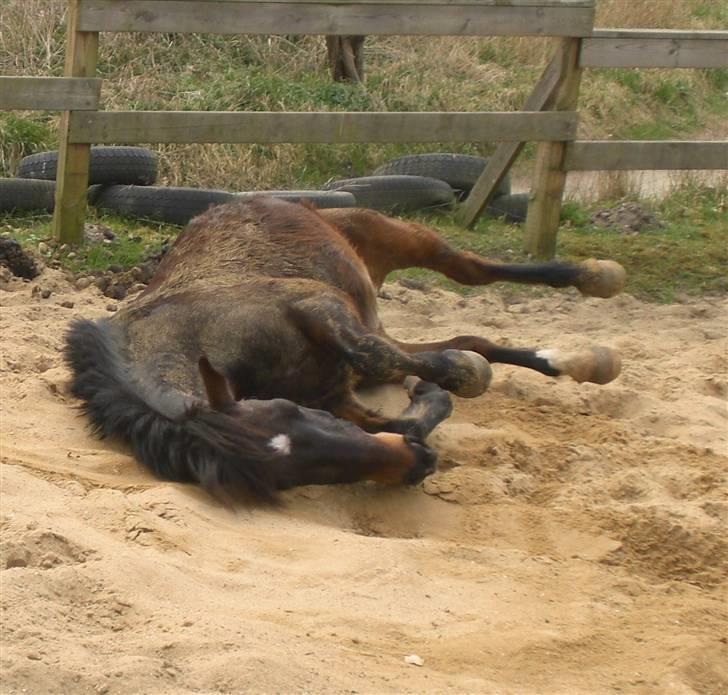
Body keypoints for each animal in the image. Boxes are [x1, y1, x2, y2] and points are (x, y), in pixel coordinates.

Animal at [67, 196, 624, 500]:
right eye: (290, 477)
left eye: (290, 414)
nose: (418, 466)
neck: (185, 328)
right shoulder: (341, 398)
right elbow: (407, 414)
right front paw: (428, 398)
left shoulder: (319, 306)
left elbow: (380, 355)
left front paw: (462, 377)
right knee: (464, 338)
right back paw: (585, 360)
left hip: (387, 232)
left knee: (469, 271)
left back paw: (596, 280)